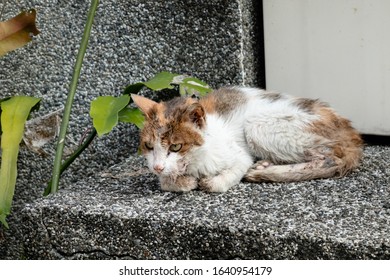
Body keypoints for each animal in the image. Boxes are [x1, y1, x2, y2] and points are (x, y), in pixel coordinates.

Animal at [132, 87, 362, 192]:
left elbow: (224, 178)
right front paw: (182, 181)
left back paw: (265, 171)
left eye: (176, 146)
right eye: (149, 146)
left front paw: (211, 181)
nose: (157, 167)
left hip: (257, 125)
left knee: (329, 159)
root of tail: (352, 134)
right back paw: (265, 164)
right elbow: (166, 182)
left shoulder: (239, 156)